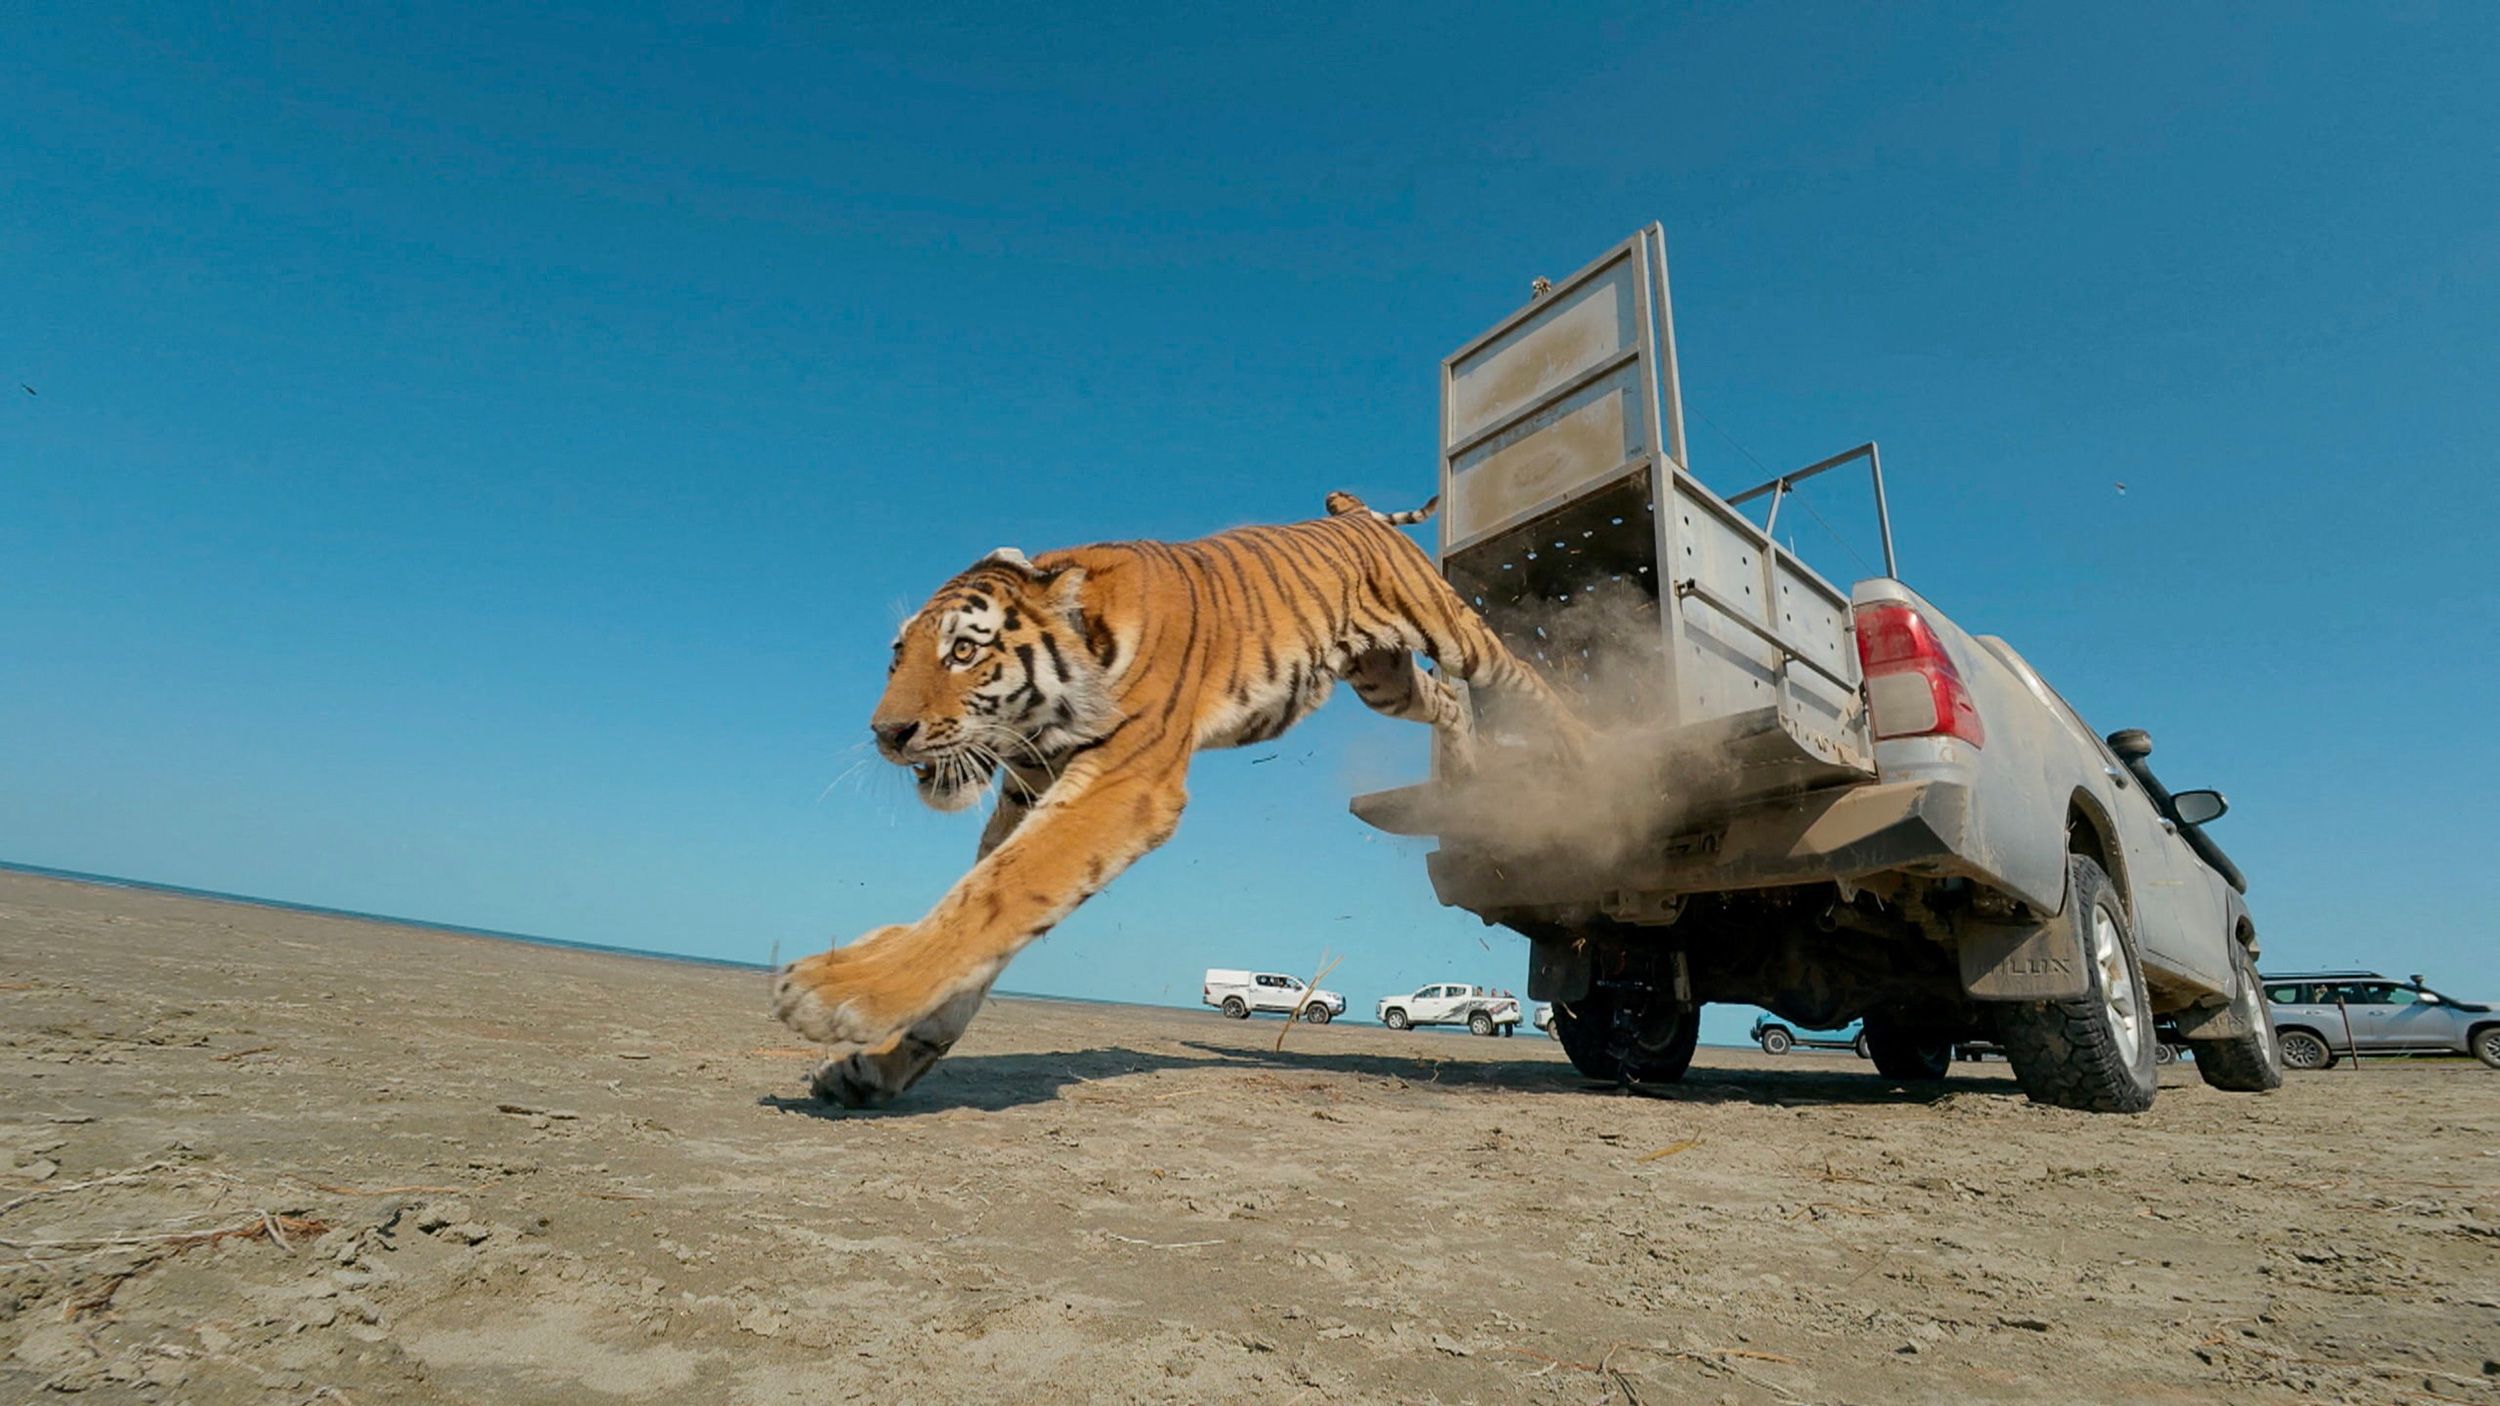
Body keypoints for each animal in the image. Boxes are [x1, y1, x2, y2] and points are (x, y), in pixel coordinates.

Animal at [770, 490, 1588, 1107]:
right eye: (896, 657)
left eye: (963, 652)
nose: (886, 733)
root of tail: (1354, 513)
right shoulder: (1026, 795)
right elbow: (984, 911)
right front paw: (879, 1064)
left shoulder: (1123, 784)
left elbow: (996, 894)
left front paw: (838, 991)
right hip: (1381, 675)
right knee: (1447, 702)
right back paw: (1464, 780)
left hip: (1447, 626)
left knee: (1517, 677)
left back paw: (1581, 751)